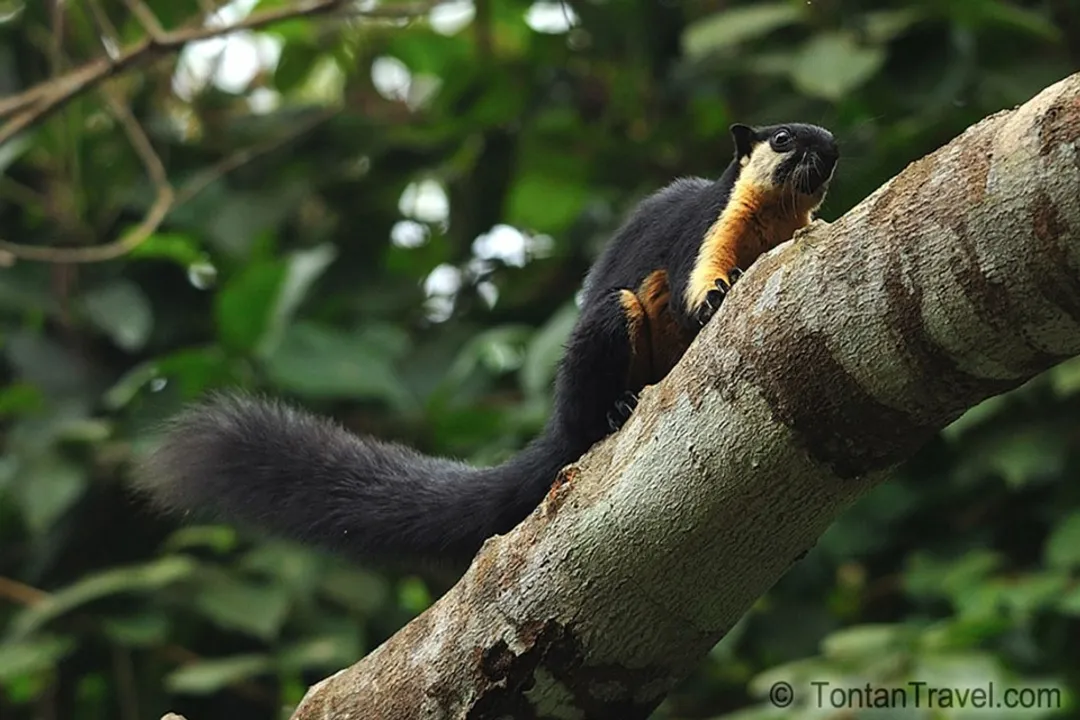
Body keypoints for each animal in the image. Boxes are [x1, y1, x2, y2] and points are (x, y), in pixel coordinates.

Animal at [134, 122, 839, 568]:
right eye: (782, 139)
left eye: (826, 139)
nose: (832, 148)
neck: (775, 220)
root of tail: (556, 427)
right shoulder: (704, 232)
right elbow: (697, 293)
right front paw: (722, 293)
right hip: (609, 330)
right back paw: (614, 410)